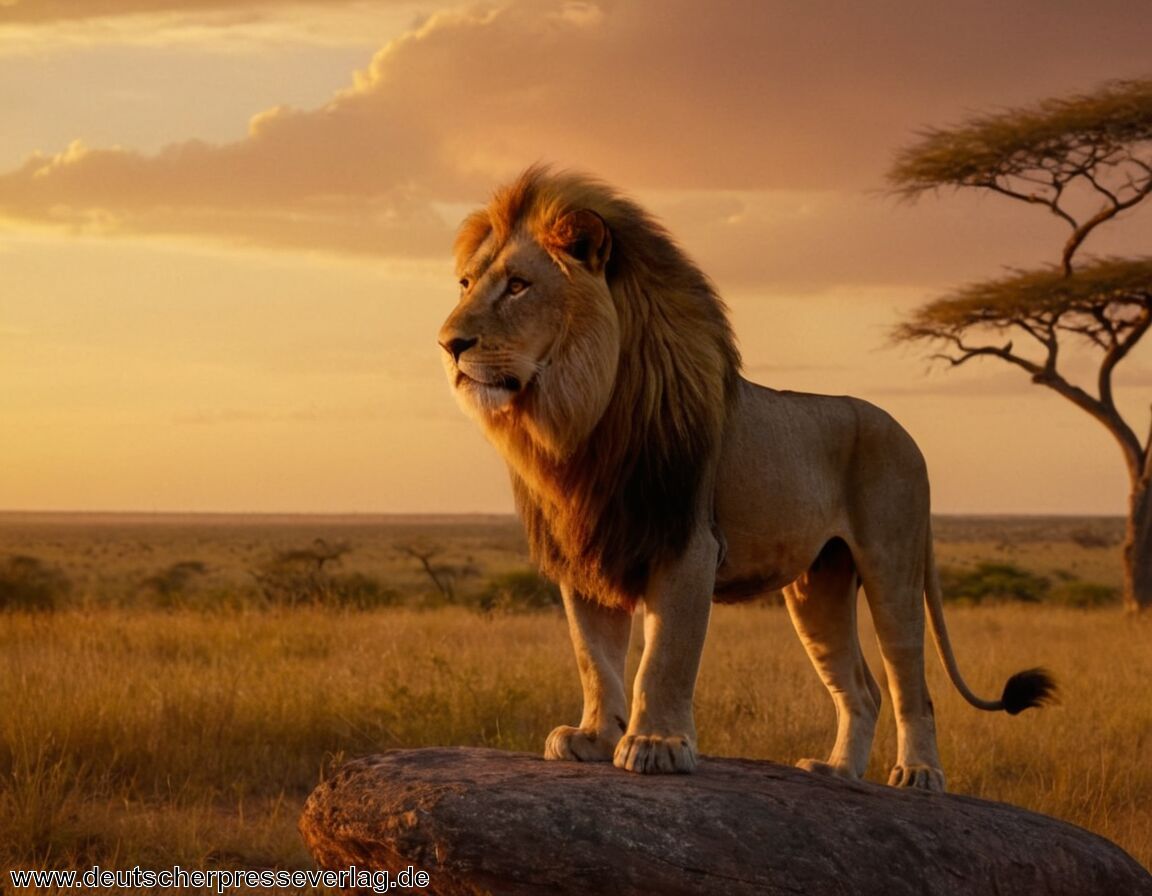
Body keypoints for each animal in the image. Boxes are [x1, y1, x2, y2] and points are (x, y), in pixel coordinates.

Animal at [438, 165, 1055, 790]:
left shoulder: (686, 542)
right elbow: (595, 658)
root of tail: (906, 435)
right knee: (863, 689)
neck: (580, 421)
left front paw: (656, 744)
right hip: (818, 585)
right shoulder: (587, 551)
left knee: (912, 685)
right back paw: (836, 771)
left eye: (518, 285)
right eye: (465, 284)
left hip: (892, 563)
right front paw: (592, 738)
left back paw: (919, 774)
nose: (448, 343)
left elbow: (665, 657)